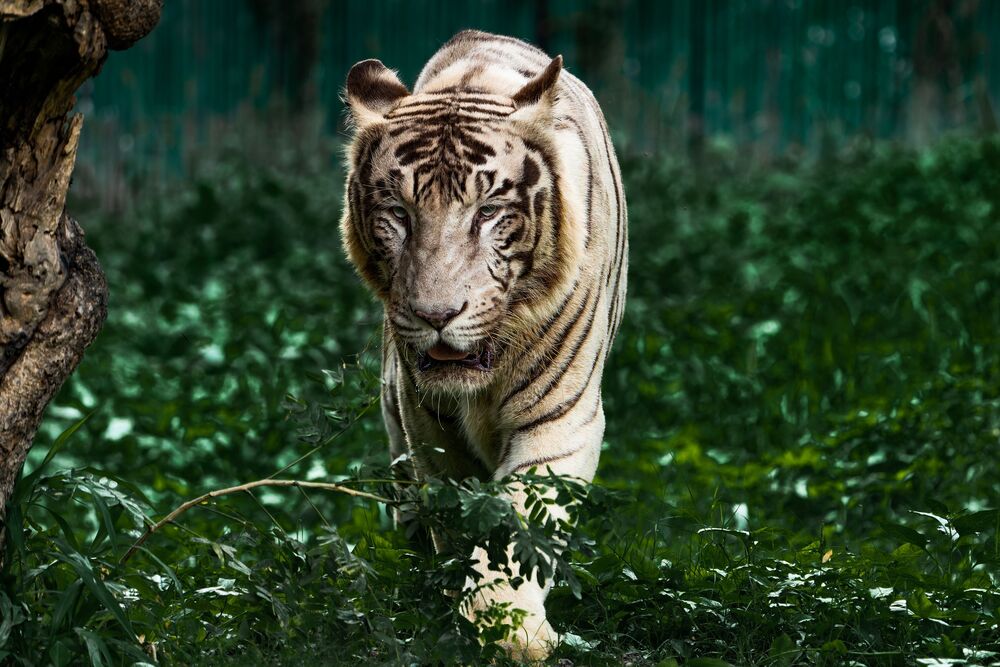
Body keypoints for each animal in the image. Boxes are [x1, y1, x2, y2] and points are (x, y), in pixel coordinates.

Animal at [341, 29, 627, 659]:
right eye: (398, 213)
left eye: (489, 212)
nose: (437, 315)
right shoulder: (425, 422)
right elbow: (455, 516)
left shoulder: (561, 416)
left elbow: (519, 523)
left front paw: (513, 631)